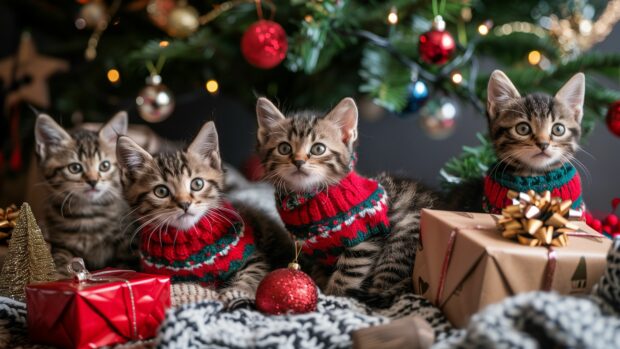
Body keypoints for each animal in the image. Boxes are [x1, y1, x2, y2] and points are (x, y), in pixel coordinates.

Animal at [34, 111, 136, 272]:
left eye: (105, 166)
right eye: (75, 168)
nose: (93, 181)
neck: (87, 215)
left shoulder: (127, 240)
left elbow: (125, 264)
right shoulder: (60, 244)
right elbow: (60, 261)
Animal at [117, 120, 294, 304]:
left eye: (197, 184)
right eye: (161, 191)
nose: (185, 204)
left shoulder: (253, 257)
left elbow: (253, 273)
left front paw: (237, 291)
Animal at [254, 96, 438, 304]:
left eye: (318, 149)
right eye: (284, 148)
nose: (298, 161)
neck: (310, 195)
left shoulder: (364, 236)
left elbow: (347, 274)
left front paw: (336, 296)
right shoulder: (316, 253)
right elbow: (318, 272)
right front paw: (318, 285)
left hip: (404, 234)